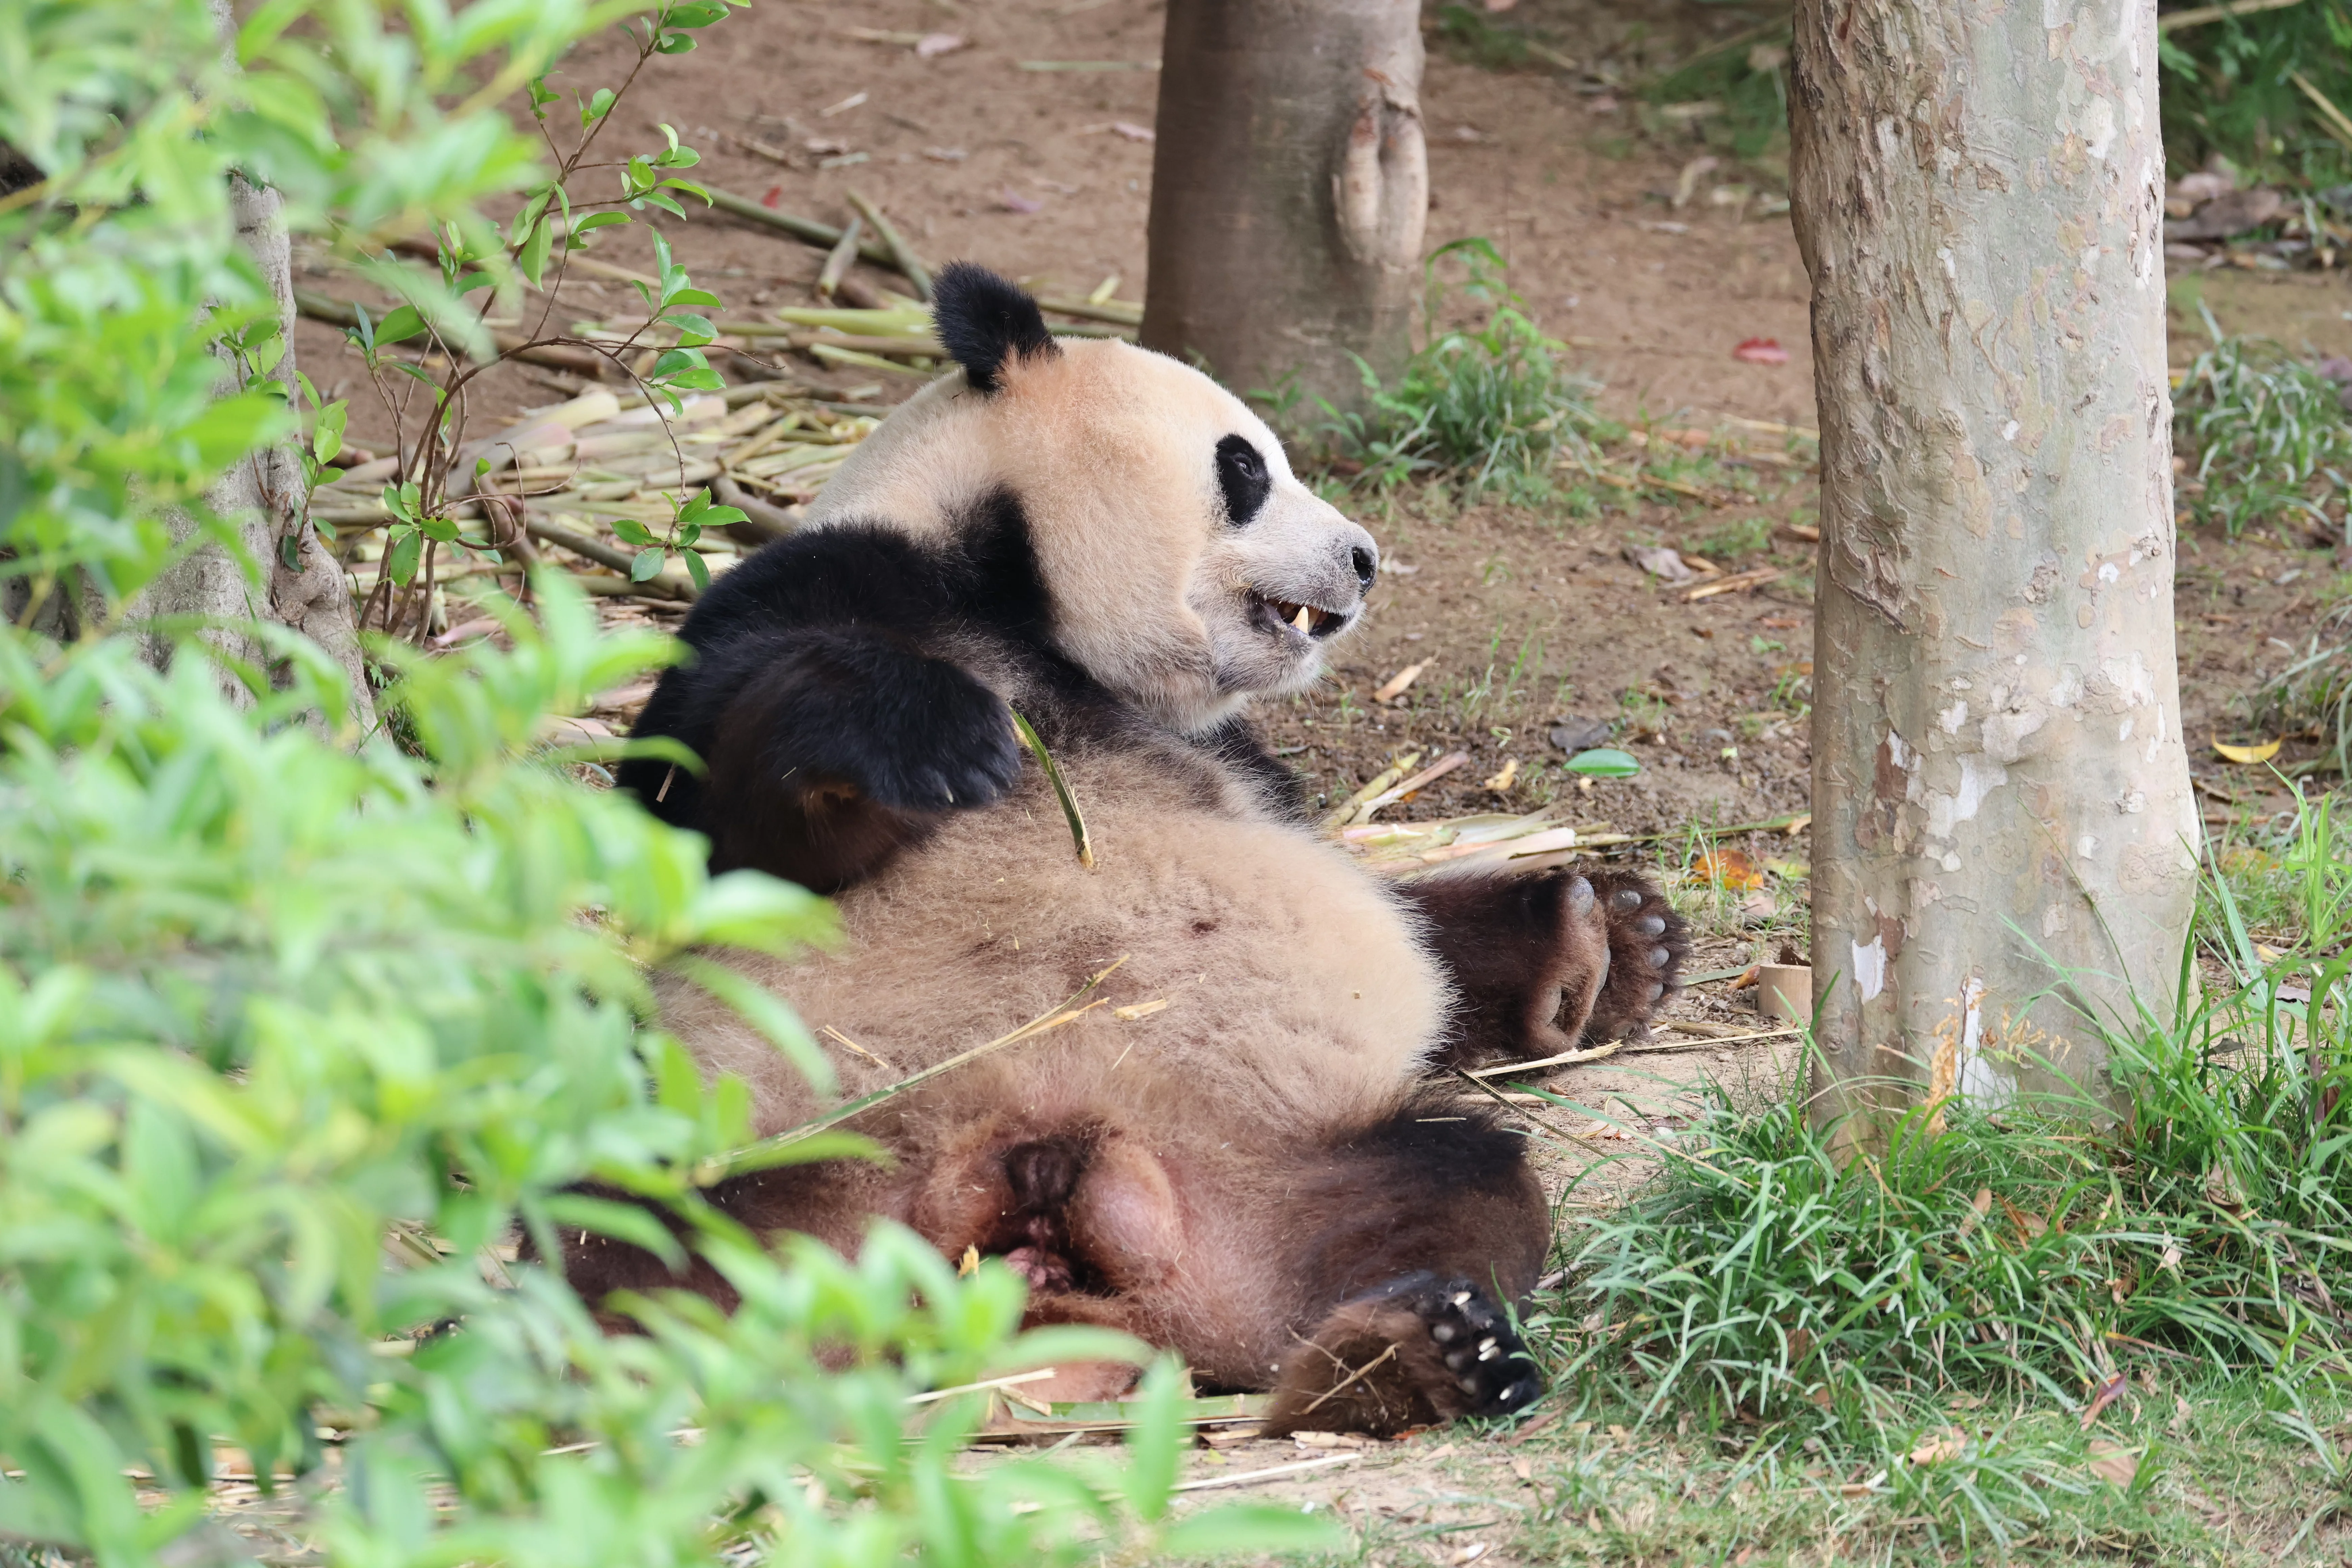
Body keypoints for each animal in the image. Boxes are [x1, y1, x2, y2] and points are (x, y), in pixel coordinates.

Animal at [570, 264, 1687, 1435]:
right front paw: (929, 735)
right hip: (781, 1165)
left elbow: (1400, 923)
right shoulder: (823, 588)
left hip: (1263, 1179)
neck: (1032, 616)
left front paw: (1614, 942)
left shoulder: (1241, 767)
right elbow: (716, 811)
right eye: (1245, 466)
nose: (1366, 560)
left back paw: (1405, 1352)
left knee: (1463, 1186)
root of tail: (1017, 1226)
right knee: (623, 1244)